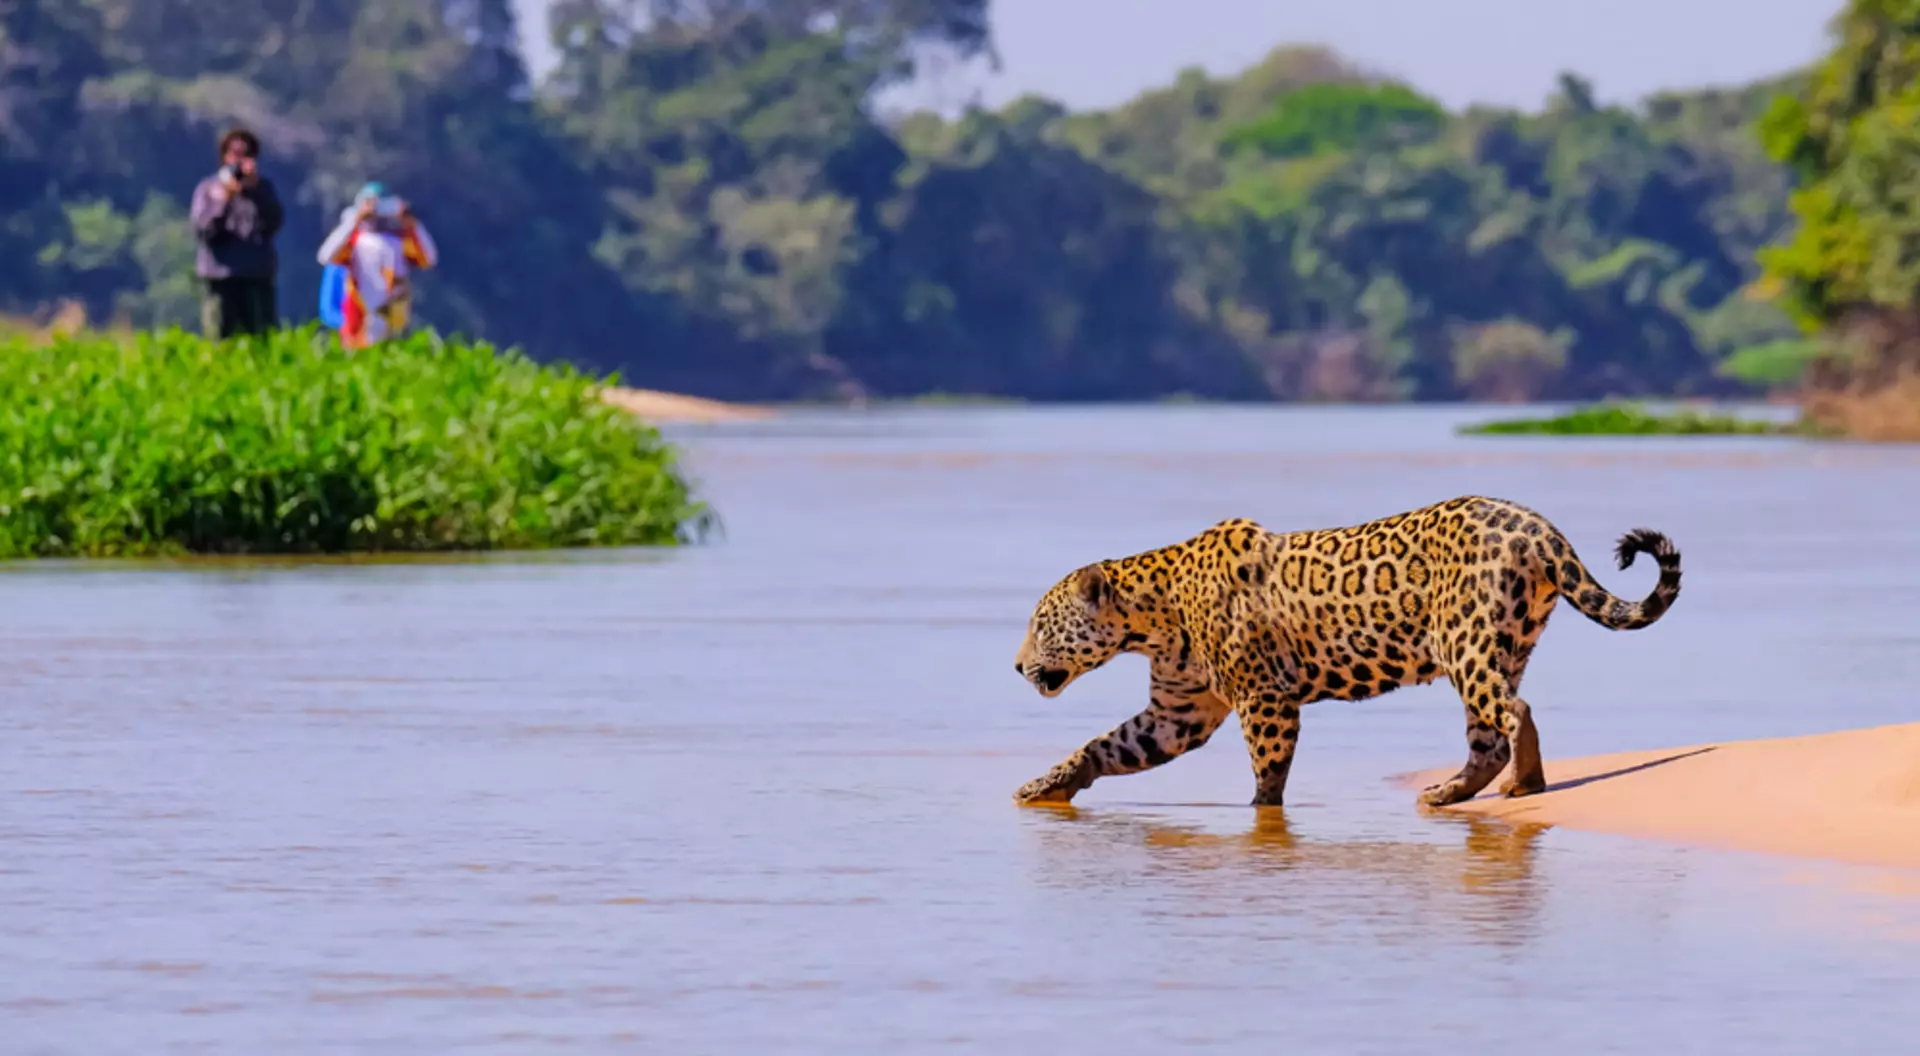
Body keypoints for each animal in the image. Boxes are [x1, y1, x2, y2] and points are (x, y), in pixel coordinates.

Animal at [1010, 495, 1682, 809]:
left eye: (1040, 625)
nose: (1016, 665)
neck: (1153, 616)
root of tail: (1537, 526)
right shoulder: (1178, 713)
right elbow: (1103, 747)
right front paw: (1043, 786)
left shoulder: (1264, 698)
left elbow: (1268, 772)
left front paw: (1261, 816)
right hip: (1505, 643)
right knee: (1488, 734)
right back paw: (1449, 793)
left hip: (1464, 639)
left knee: (1514, 713)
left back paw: (1526, 784)